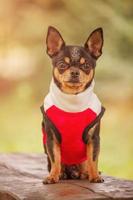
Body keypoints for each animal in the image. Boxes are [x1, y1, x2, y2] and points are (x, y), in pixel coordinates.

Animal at [40, 26, 105, 184]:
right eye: (62, 65)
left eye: (86, 66)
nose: (75, 72)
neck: (72, 100)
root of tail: (72, 173)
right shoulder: (51, 139)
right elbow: (55, 159)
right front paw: (53, 176)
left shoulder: (94, 139)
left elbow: (93, 159)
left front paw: (95, 176)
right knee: (57, 163)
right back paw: (62, 174)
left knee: (85, 164)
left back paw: (86, 174)